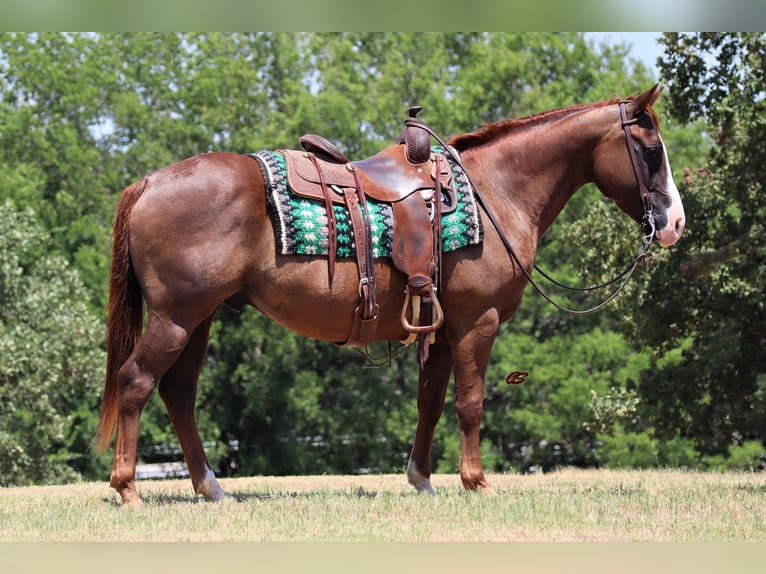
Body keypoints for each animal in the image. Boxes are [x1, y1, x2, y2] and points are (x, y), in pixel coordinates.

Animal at [93, 83, 688, 506]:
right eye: (650, 151)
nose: (675, 223)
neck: (495, 192)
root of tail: (149, 182)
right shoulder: (478, 322)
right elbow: (471, 401)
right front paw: (476, 481)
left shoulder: (442, 329)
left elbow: (430, 401)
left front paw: (422, 479)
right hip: (175, 318)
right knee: (137, 381)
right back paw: (128, 488)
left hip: (199, 319)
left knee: (178, 394)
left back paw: (211, 487)